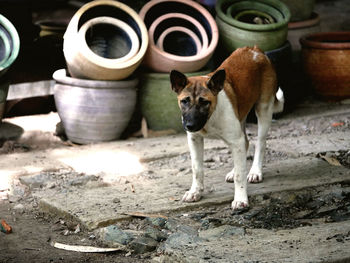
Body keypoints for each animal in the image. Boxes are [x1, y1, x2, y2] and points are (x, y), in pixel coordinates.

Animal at [170, 45, 284, 210]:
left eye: (204, 102)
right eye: (184, 101)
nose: (190, 126)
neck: (210, 117)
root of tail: (255, 49)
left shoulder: (235, 140)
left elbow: (240, 175)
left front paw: (241, 199)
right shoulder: (195, 139)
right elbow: (197, 169)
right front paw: (195, 192)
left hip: (263, 109)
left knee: (261, 143)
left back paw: (255, 171)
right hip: (241, 116)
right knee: (246, 143)